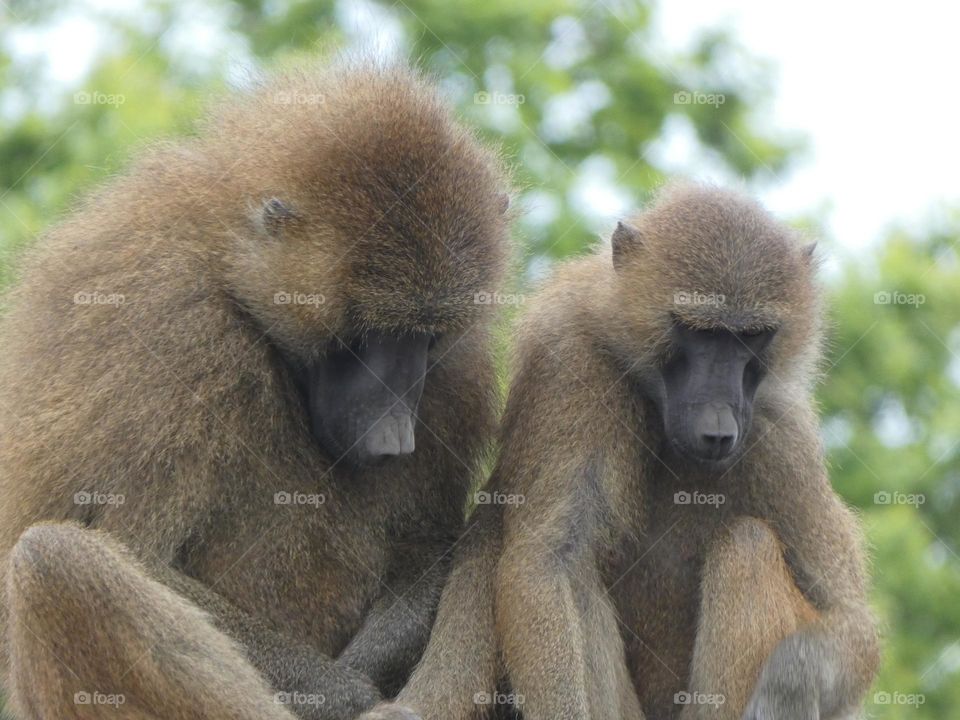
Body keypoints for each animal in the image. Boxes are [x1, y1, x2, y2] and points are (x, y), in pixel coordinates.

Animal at [0, 59, 512, 720]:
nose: (394, 437)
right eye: (363, 337)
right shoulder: (173, 329)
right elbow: (133, 548)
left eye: (426, 338)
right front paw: (347, 694)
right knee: (53, 560)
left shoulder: (456, 377)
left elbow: (427, 554)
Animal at [361, 183, 880, 720]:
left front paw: (787, 687)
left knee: (747, 545)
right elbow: (549, 561)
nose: (718, 428)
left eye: (751, 337)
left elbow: (851, 622)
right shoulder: (570, 359)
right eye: (699, 331)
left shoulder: (784, 435)